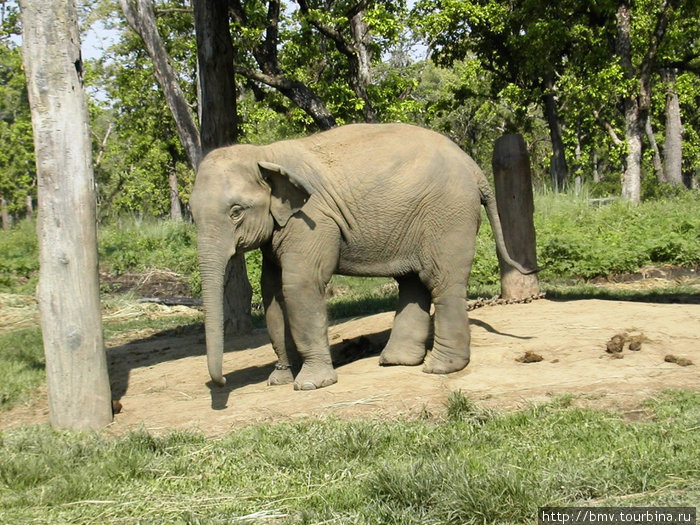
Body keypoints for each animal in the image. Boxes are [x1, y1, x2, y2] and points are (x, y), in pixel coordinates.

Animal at [189, 123, 532, 390]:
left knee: (440, 280)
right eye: (191, 214)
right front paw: (280, 380)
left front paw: (310, 384)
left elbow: (300, 286)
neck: (265, 154)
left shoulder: (313, 220)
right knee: (413, 281)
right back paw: (396, 362)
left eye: (235, 212)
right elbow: (273, 293)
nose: (221, 382)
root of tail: (473, 166)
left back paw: (439, 368)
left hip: (448, 214)